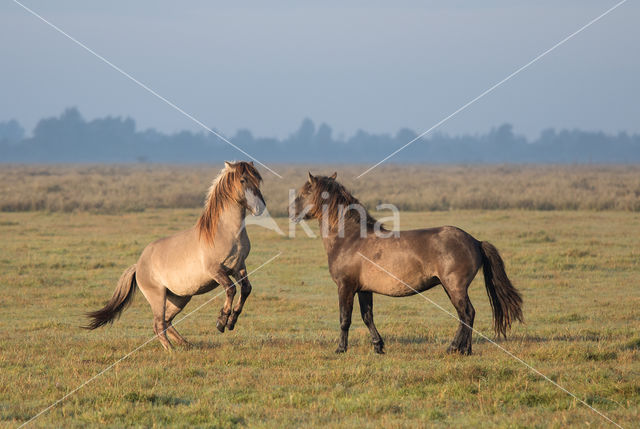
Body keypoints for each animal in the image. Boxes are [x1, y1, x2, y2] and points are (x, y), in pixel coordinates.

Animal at [84, 160, 264, 348]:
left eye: (258, 179)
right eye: (243, 180)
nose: (259, 208)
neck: (225, 232)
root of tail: (138, 265)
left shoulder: (238, 266)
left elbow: (246, 289)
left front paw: (231, 321)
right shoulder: (215, 271)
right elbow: (231, 288)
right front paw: (221, 322)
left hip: (180, 298)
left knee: (167, 321)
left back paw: (187, 345)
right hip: (158, 297)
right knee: (158, 324)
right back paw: (171, 350)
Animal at [292, 171, 524, 354]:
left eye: (304, 193)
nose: (291, 213)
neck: (351, 238)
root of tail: (475, 241)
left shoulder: (345, 287)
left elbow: (344, 319)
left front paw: (341, 348)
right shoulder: (364, 289)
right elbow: (367, 317)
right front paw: (378, 346)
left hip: (454, 286)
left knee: (467, 313)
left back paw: (454, 348)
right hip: (450, 287)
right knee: (465, 315)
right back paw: (465, 350)